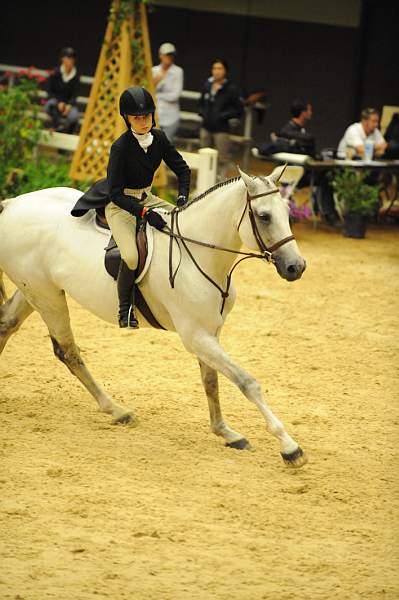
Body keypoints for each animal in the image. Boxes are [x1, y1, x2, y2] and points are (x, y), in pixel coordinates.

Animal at [0, 165, 310, 468]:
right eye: (264, 216)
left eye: (286, 213)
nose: (296, 267)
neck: (198, 253)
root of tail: (12, 204)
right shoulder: (195, 336)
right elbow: (247, 382)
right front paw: (289, 447)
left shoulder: (209, 332)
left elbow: (211, 381)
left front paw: (226, 432)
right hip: (46, 296)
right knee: (69, 352)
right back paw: (117, 410)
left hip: (34, 292)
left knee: (7, 325)